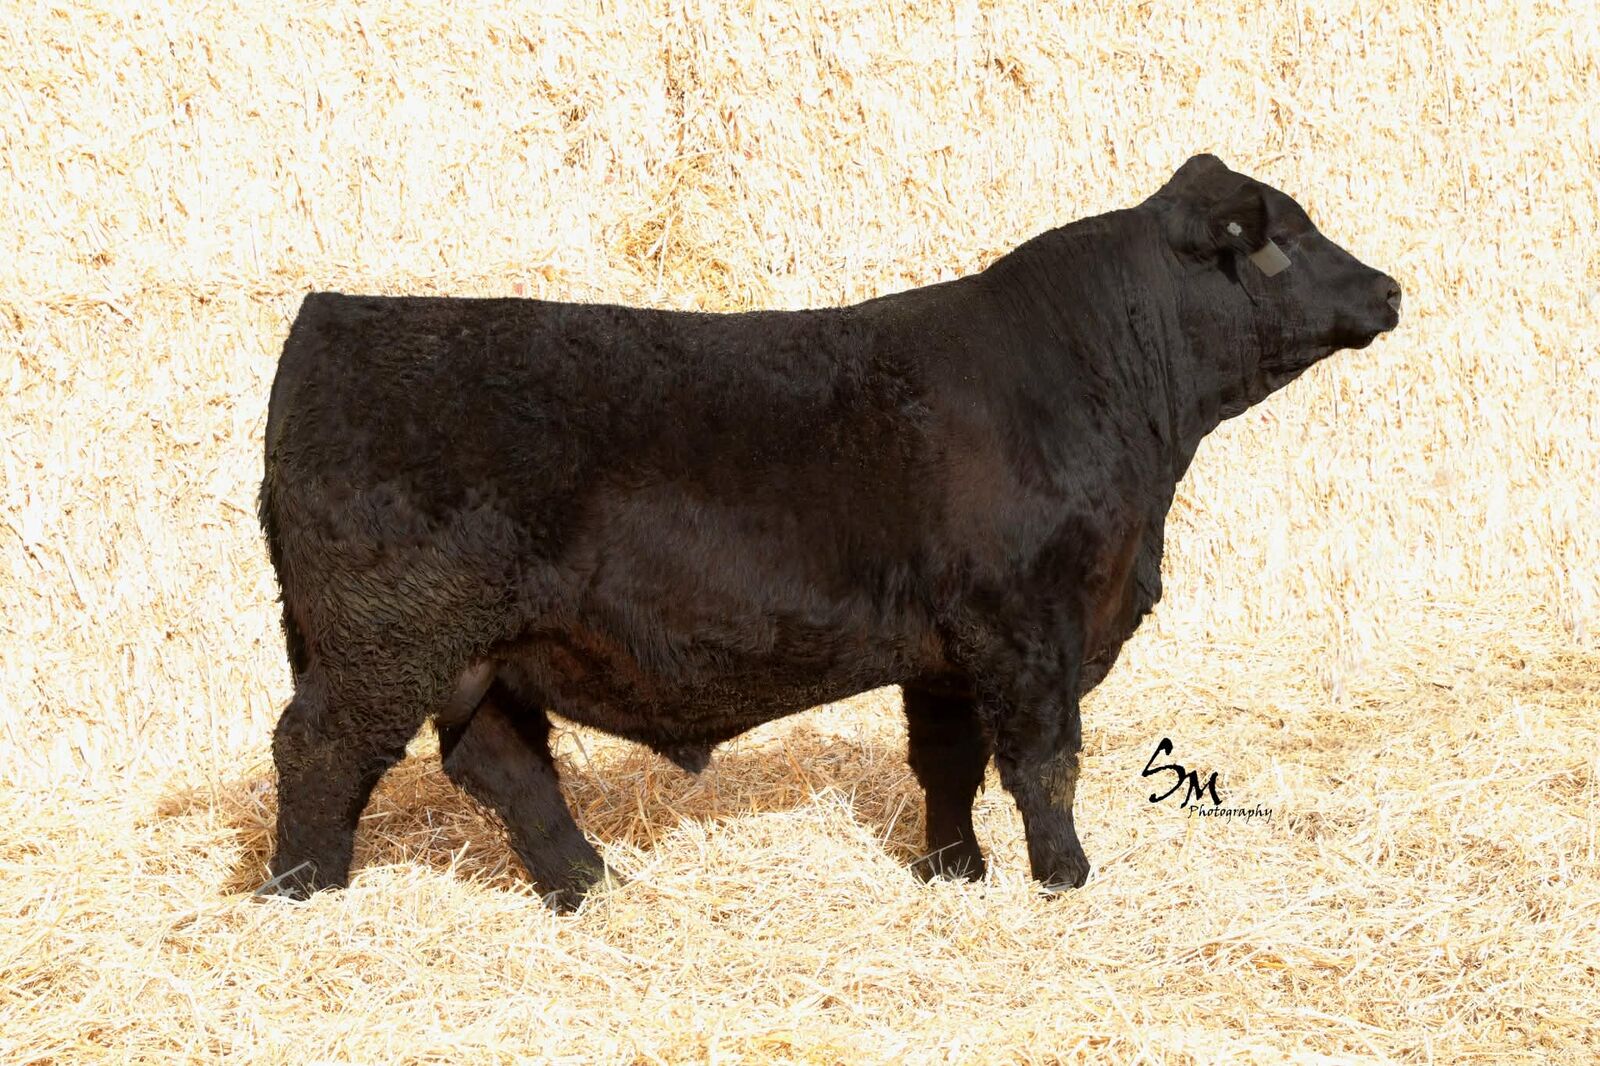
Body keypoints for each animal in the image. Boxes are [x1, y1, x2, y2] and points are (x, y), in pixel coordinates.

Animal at [258, 154, 1401, 909]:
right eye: (1286, 238)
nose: (1389, 287)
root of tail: (328, 319)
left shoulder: (946, 648)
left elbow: (947, 763)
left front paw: (954, 872)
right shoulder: (1027, 622)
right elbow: (1043, 760)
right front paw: (1064, 880)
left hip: (482, 653)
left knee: (502, 764)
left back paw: (590, 885)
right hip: (383, 641)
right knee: (319, 746)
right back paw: (304, 896)